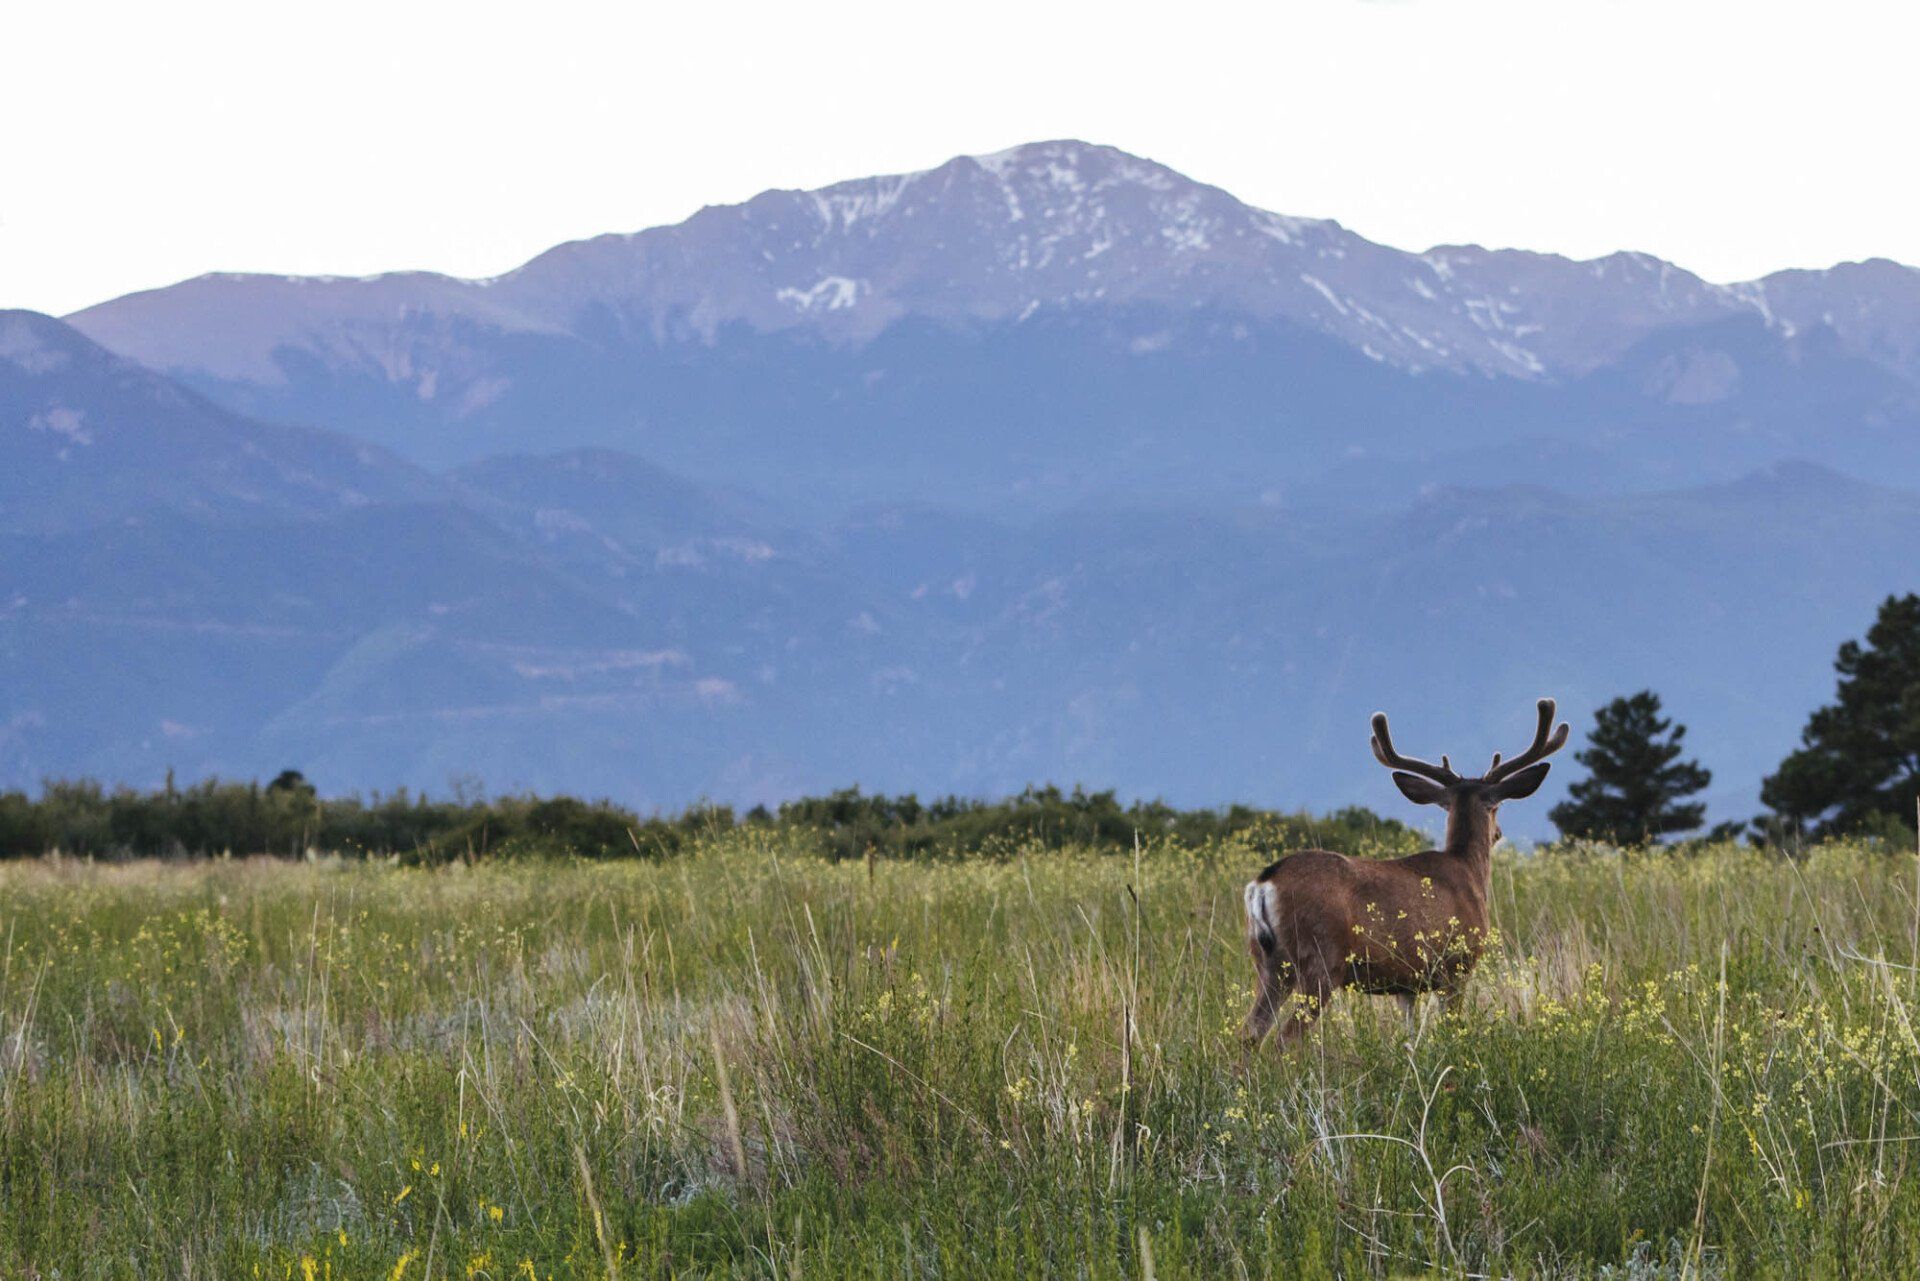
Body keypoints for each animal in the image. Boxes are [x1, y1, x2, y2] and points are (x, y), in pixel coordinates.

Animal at [1240, 698, 1568, 1050]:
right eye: (1497, 806)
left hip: (1268, 962)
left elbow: (1410, 1039)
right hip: (1320, 958)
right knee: (1284, 1038)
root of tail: (1264, 883)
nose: (1498, 833)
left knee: (1250, 1032)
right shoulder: (1456, 965)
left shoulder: (1406, 984)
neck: (1469, 871)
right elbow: (1452, 1027)